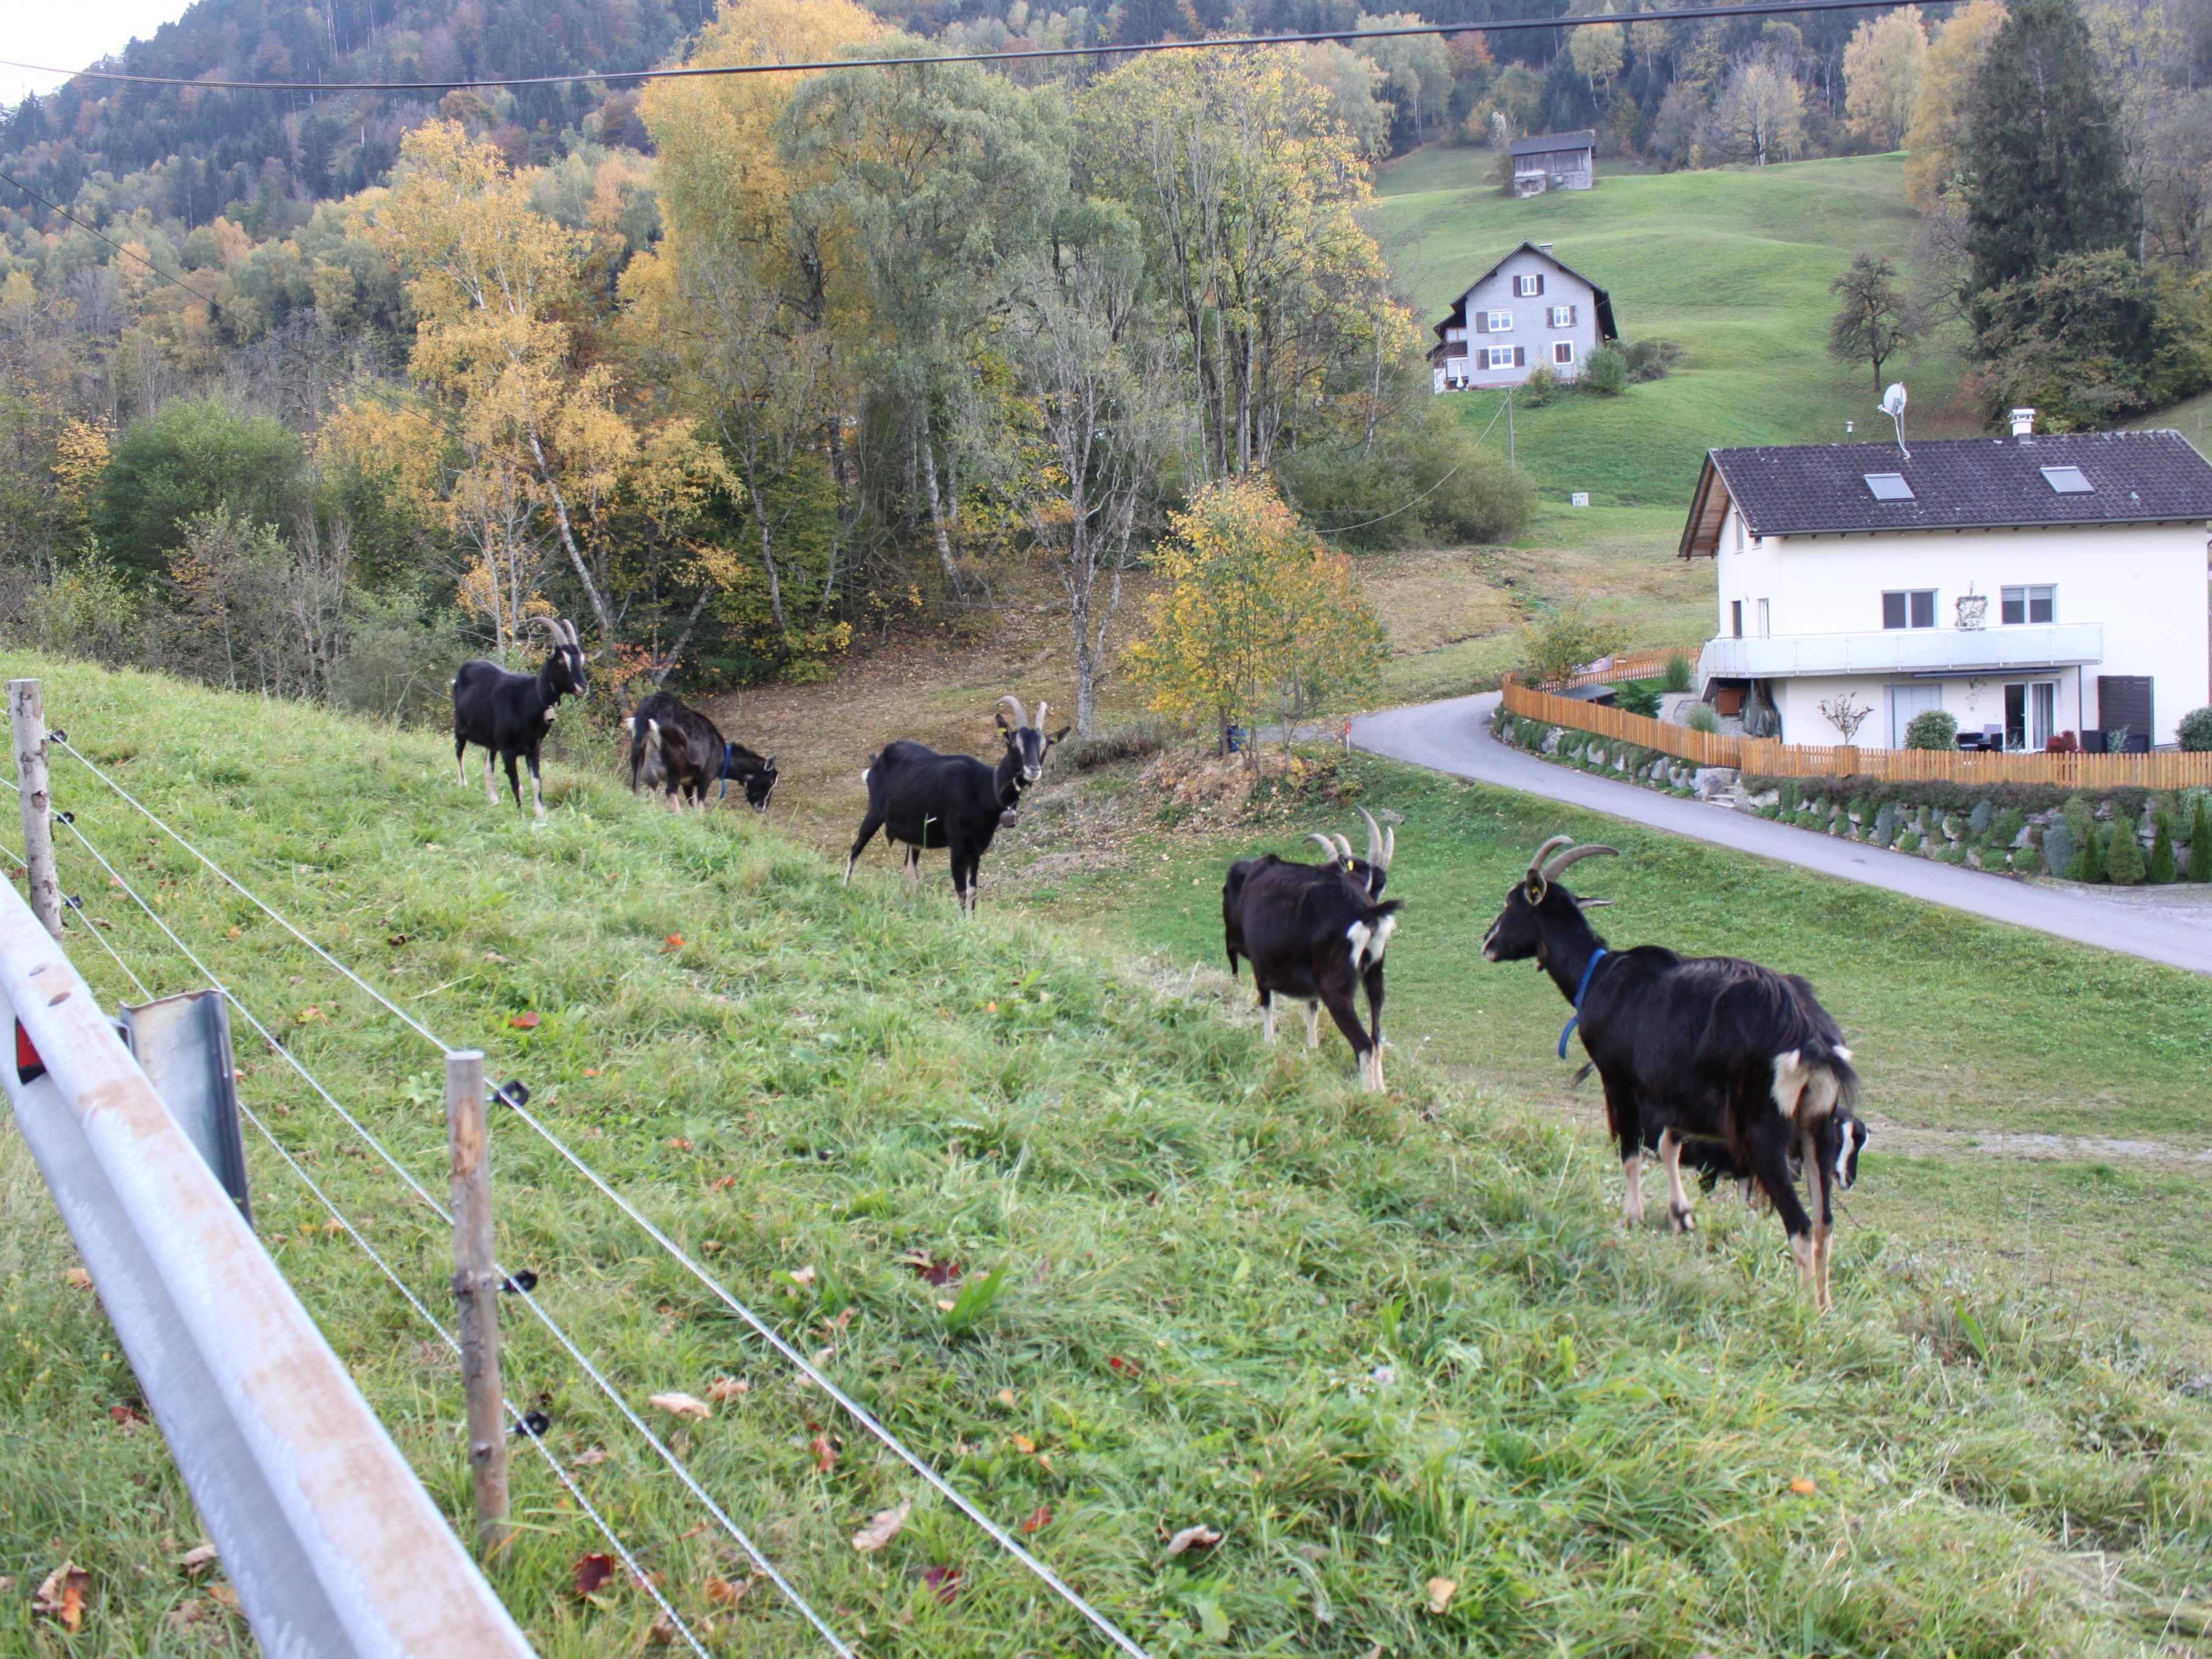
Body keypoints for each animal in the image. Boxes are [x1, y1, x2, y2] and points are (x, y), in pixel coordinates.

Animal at [628, 690, 782, 814]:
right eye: (770, 781)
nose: (762, 808)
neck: (723, 758)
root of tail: (651, 711)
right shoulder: (705, 778)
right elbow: (699, 807)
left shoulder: (687, 782)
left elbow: (692, 803)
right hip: (675, 762)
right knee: (670, 792)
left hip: (638, 753)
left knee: (636, 787)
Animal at [840, 694, 1066, 915]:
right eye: (1014, 744)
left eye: (1045, 746)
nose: (1033, 770)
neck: (983, 789)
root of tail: (878, 760)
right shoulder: (957, 843)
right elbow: (962, 890)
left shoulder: (977, 847)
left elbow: (973, 889)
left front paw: (971, 922)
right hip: (874, 812)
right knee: (855, 850)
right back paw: (845, 889)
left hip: (915, 834)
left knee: (910, 869)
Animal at [1221, 814, 1406, 1097]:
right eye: (1375, 883)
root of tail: (1365, 914)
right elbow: (1311, 1010)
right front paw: (1312, 1051)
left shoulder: (1261, 963)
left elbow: (1266, 1003)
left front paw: (1270, 1045)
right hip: (1375, 976)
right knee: (1376, 1037)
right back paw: (1381, 1092)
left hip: (1336, 986)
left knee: (1364, 1044)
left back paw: (1365, 1097)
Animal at [1486, 836, 1867, 1318]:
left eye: (1511, 901)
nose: (1487, 942)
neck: (1598, 974)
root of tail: (1812, 1037)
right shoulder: (1679, 1094)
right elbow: (1669, 1142)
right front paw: (1681, 1215)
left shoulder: (1619, 1080)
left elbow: (1630, 1150)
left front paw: (1630, 1218)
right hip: (1817, 1127)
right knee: (1824, 1222)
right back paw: (1825, 1306)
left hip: (1762, 1129)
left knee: (1798, 1223)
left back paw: (1802, 1314)